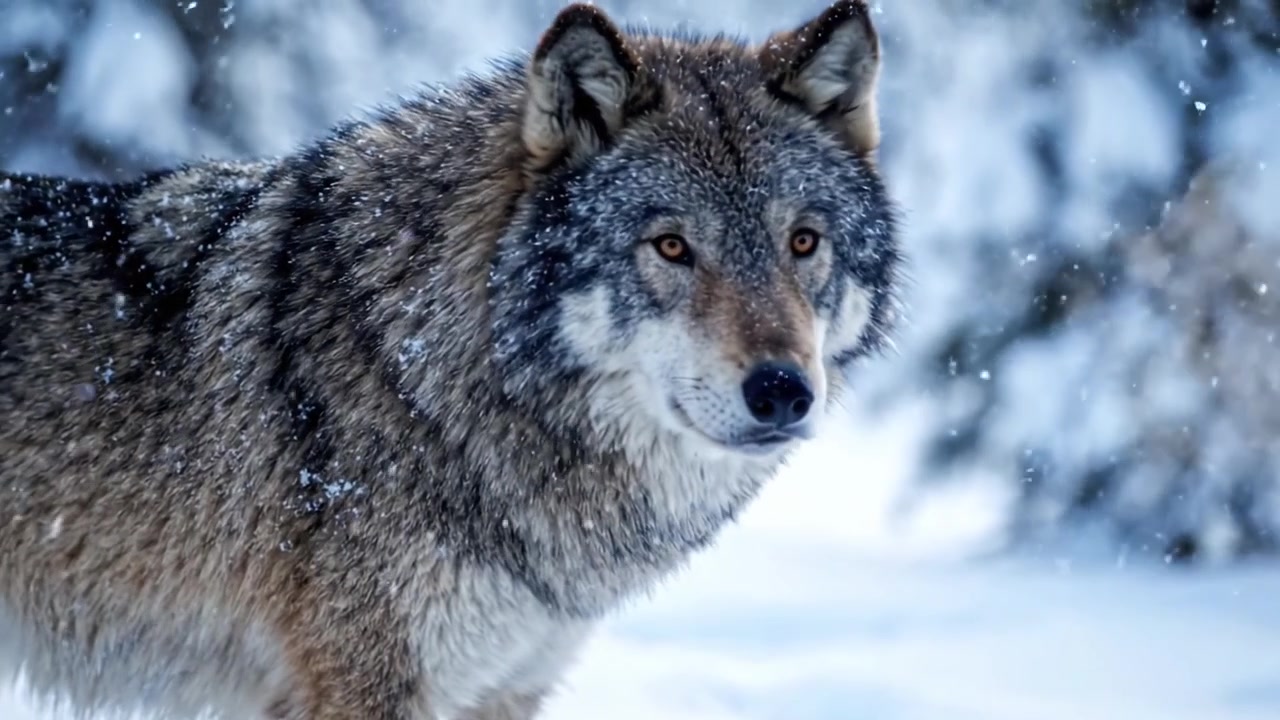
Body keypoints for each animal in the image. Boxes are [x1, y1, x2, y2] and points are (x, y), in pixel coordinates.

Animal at [0, 1, 900, 718]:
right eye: (672, 246)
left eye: (803, 242)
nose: (783, 391)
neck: (431, 367)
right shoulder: (363, 686)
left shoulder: (506, 686)